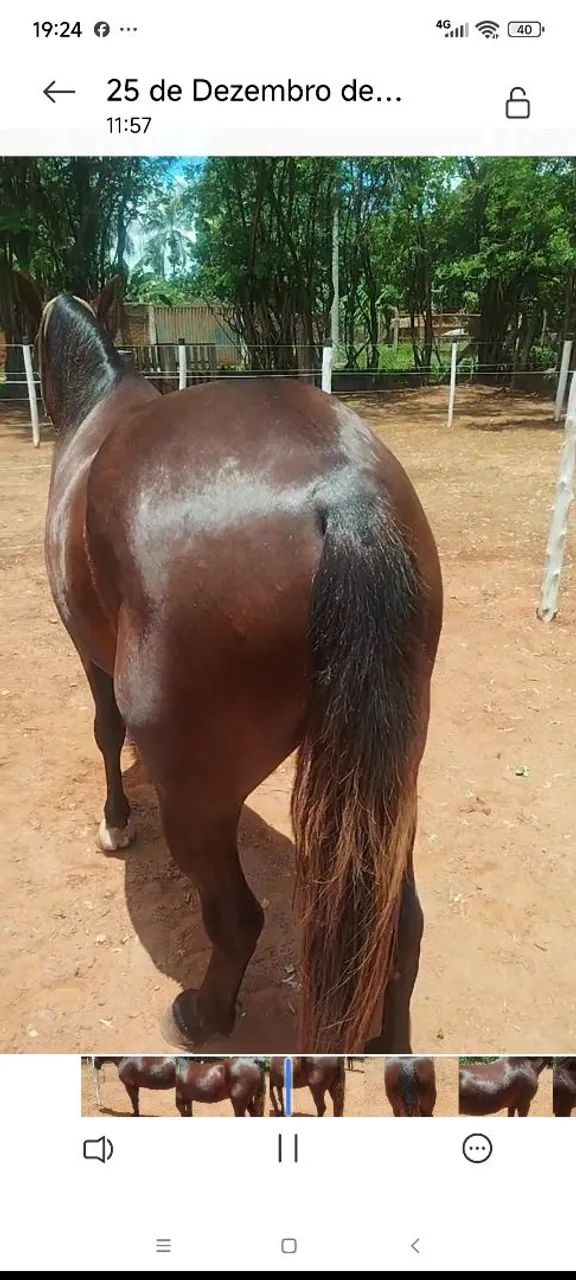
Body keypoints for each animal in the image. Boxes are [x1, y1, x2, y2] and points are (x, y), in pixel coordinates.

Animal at [35, 282, 442, 1053]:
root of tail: (343, 493)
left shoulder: (84, 648)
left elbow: (105, 732)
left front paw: (115, 823)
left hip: (198, 796)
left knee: (237, 921)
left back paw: (202, 1015)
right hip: (390, 776)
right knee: (399, 923)